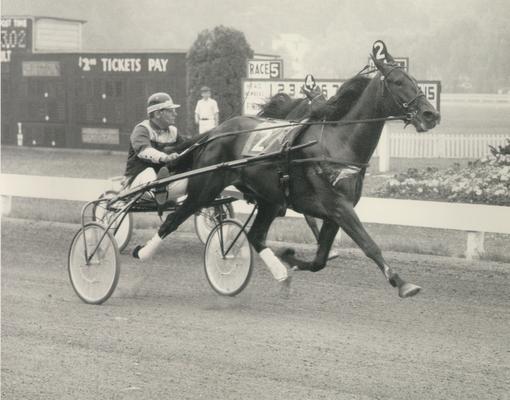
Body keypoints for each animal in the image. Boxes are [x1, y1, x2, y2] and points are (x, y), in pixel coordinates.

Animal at [133, 42, 440, 298]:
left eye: (415, 81)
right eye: (398, 82)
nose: (431, 115)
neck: (337, 143)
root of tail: (215, 132)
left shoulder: (334, 211)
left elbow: (319, 260)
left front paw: (290, 258)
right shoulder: (337, 206)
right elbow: (369, 244)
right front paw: (403, 283)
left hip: (268, 199)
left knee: (256, 236)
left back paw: (280, 273)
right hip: (205, 189)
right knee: (173, 220)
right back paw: (142, 253)